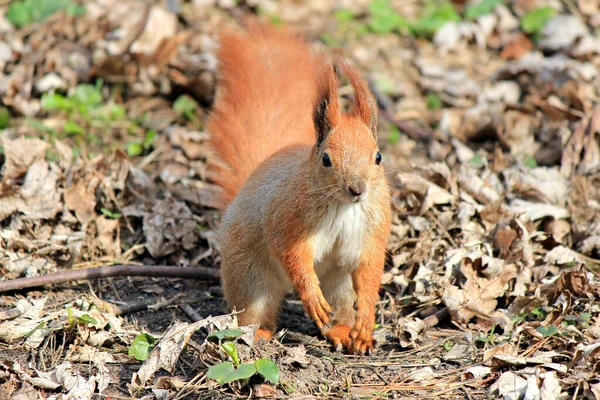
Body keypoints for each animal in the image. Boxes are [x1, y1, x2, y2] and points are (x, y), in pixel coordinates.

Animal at [207, 22, 394, 354]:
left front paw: (366, 321)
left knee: (341, 306)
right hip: (250, 277)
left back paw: (344, 331)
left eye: (378, 157)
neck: (344, 207)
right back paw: (259, 333)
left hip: (338, 283)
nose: (357, 189)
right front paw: (311, 298)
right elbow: (293, 256)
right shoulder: (288, 219)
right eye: (326, 159)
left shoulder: (373, 229)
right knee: (253, 312)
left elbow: (370, 270)